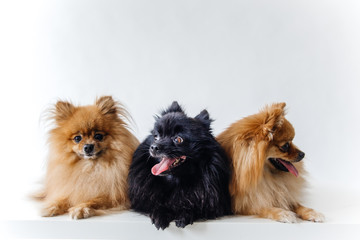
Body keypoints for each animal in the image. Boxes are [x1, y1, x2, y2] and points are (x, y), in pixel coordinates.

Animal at [129, 101, 231, 229]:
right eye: (156, 137)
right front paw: (160, 214)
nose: (154, 147)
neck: (176, 180)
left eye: (178, 139)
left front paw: (184, 213)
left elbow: (194, 206)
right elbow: (156, 204)